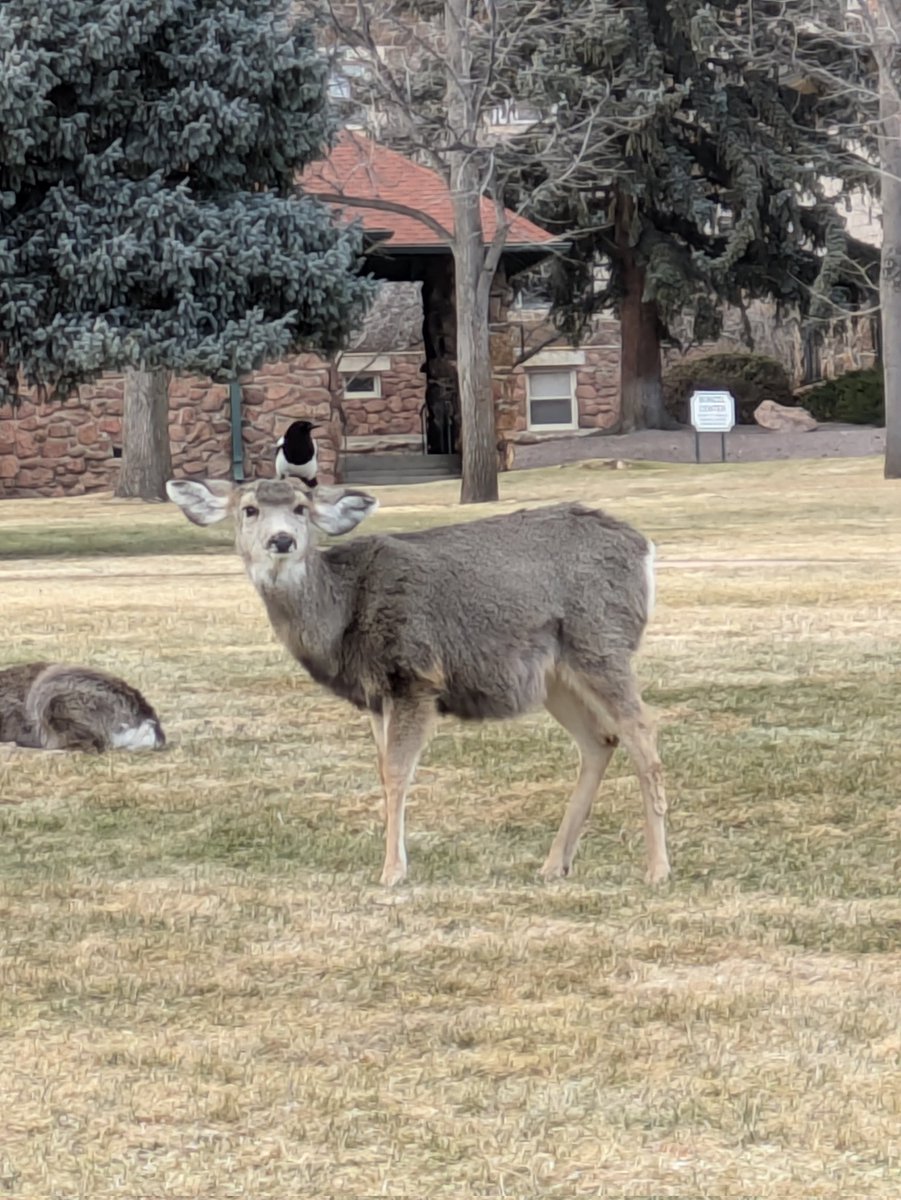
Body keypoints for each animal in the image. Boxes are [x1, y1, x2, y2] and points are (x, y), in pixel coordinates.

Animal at [166, 477, 670, 887]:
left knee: (642, 732)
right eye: (249, 508)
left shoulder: (413, 675)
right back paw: (554, 864)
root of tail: (644, 547)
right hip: (555, 677)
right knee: (601, 740)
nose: (282, 540)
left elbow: (396, 772)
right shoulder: (374, 696)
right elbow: (382, 769)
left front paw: (392, 872)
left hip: (600, 641)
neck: (341, 612)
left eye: (300, 508)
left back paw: (657, 869)